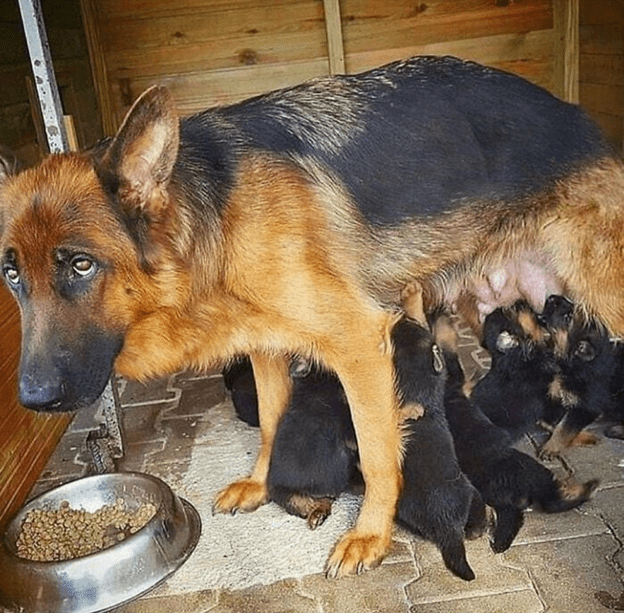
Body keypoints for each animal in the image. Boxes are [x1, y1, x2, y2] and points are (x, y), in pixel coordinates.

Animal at [434, 314, 600, 552]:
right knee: (551, 498)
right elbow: (563, 422)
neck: (514, 359)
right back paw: (589, 488)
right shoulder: (548, 396)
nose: (538, 315)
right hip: (530, 471)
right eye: (514, 315)